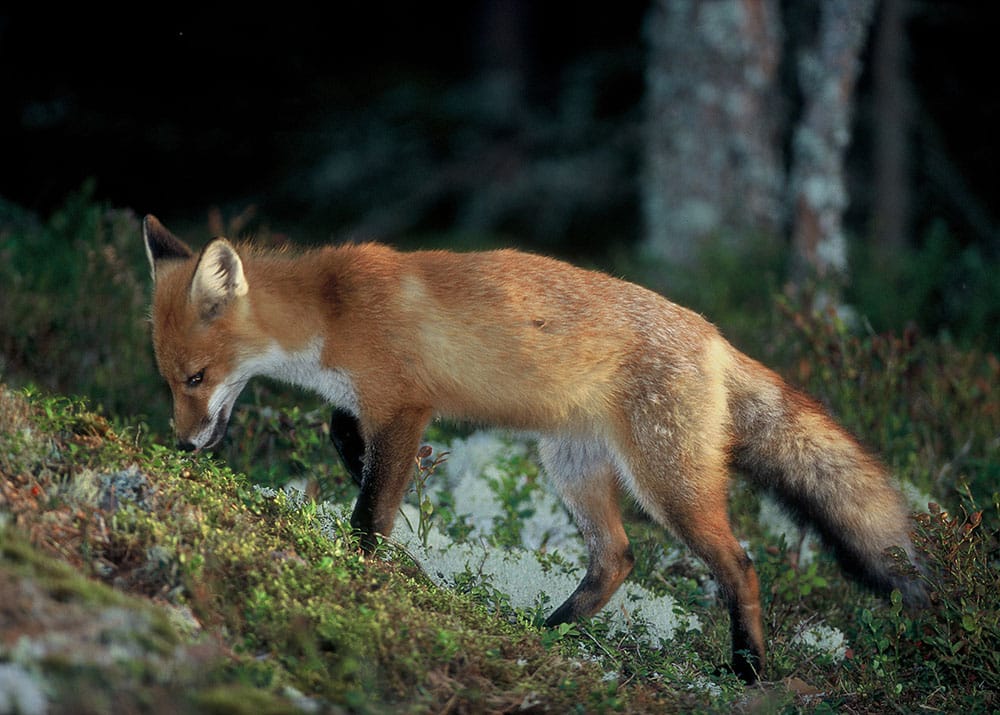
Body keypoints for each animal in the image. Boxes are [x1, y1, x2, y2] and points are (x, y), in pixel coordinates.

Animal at [143, 213, 928, 684]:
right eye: (168, 379)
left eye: (195, 377)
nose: (183, 443)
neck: (333, 311)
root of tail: (713, 335)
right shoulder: (367, 401)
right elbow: (342, 435)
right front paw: (379, 473)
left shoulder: (405, 405)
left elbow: (371, 512)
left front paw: (360, 570)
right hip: (572, 468)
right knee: (617, 559)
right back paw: (543, 631)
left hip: (665, 481)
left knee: (739, 563)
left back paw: (748, 669)